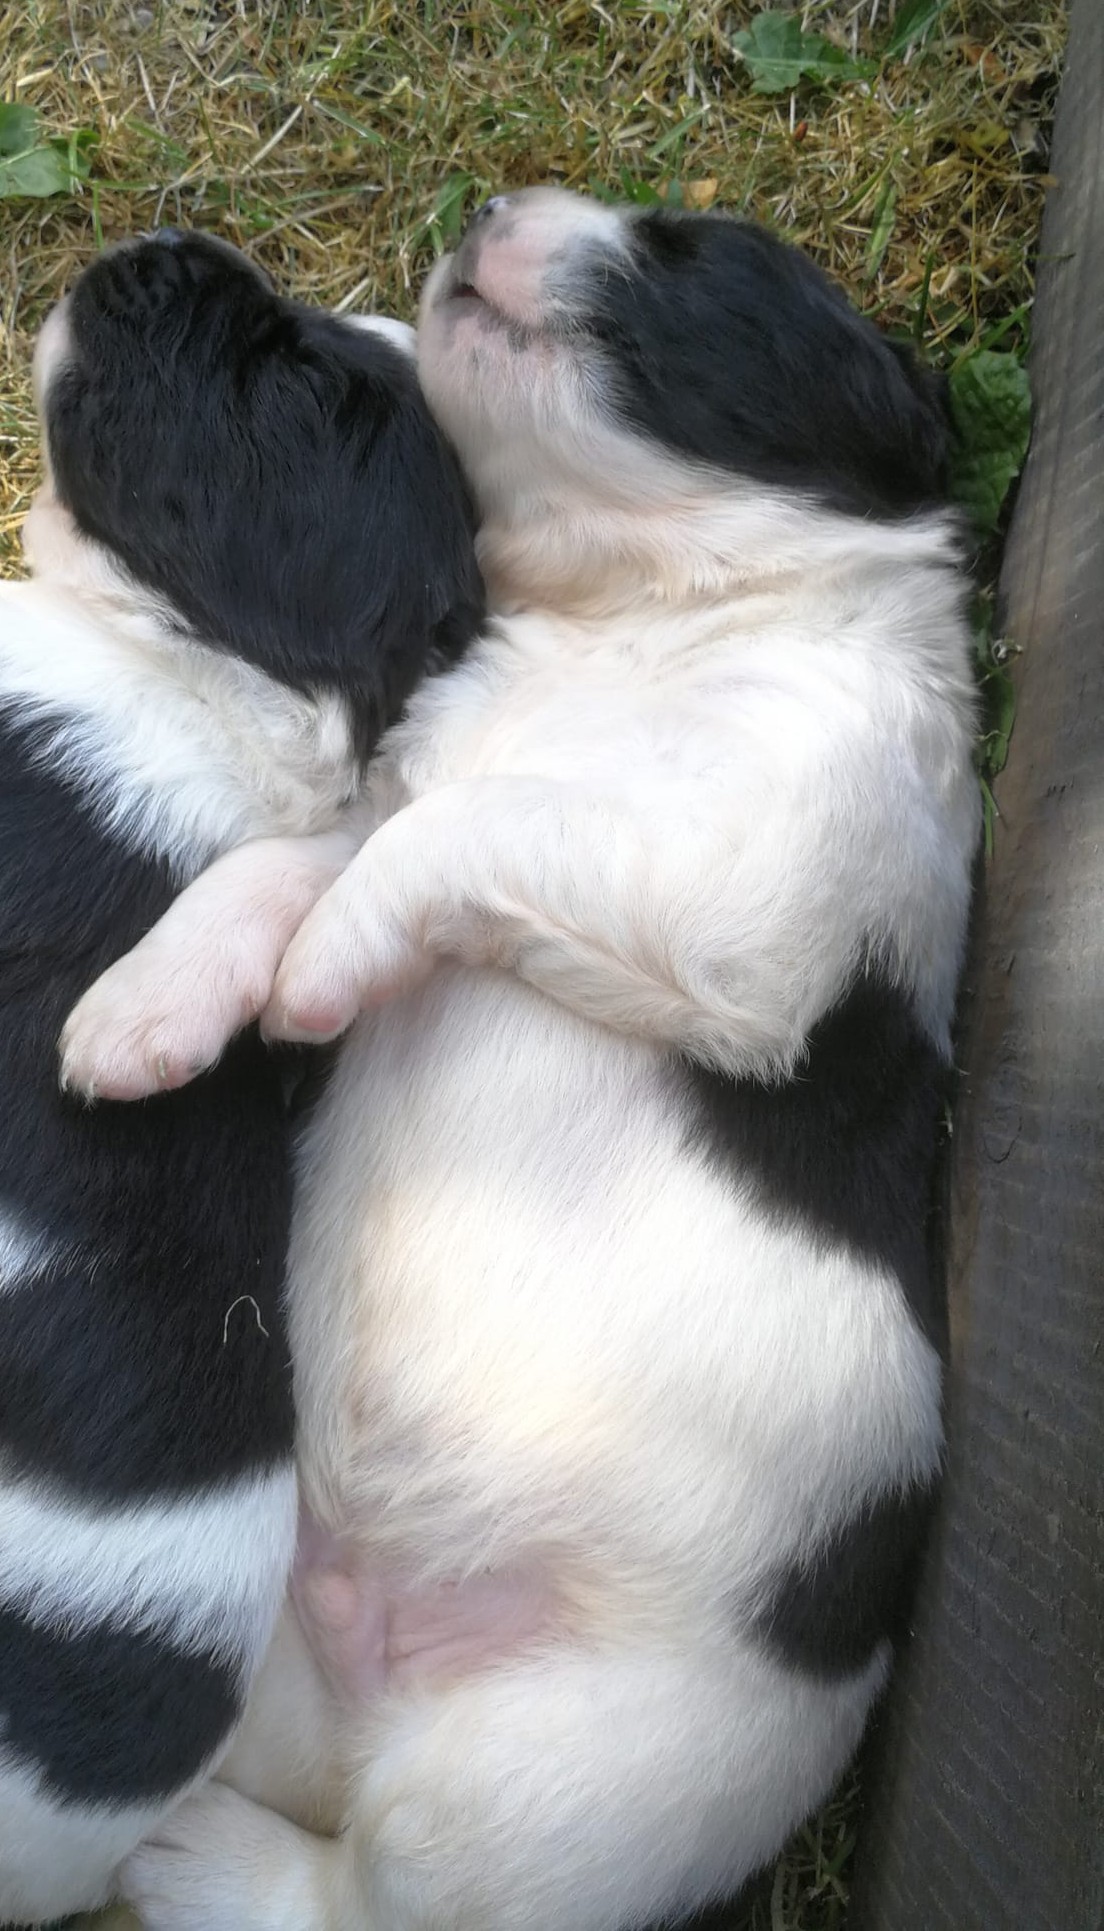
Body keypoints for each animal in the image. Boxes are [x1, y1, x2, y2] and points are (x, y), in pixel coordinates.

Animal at [61, 190, 979, 1930]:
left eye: (687, 250)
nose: (494, 205)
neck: (634, 621)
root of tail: (362, 1696)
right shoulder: (421, 778)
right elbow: (312, 853)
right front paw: (150, 1001)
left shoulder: (751, 889)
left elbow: (454, 835)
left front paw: (319, 974)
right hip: (284, 1651)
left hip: (558, 1782)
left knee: (380, 1893)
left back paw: (195, 1852)